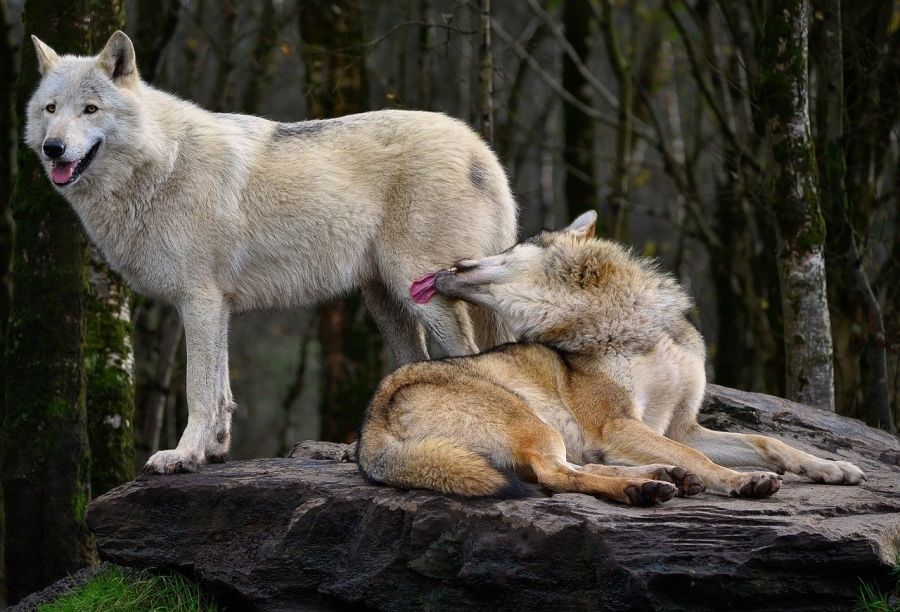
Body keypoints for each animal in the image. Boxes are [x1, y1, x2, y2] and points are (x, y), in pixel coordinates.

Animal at [24, 31, 516, 476]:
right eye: (51, 109)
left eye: (91, 109)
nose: (53, 148)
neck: (162, 164)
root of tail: (482, 150)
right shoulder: (217, 307)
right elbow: (221, 391)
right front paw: (213, 452)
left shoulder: (198, 301)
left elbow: (198, 391)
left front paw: (182, 456)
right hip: (387, 302)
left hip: (425, 292)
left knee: (471, 359)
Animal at [356, 213, 864, 504]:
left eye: (507, 248)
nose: (449, 263)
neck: (620, 322)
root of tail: (369, 434)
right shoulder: (619, 425)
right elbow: (703, 457)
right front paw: (741, 481)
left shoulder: (680, 425)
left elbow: (766, 441)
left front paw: (830, 467)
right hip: (533, 422)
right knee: (556, 476)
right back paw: (643, 488)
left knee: (574, 470)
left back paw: (662, 477)